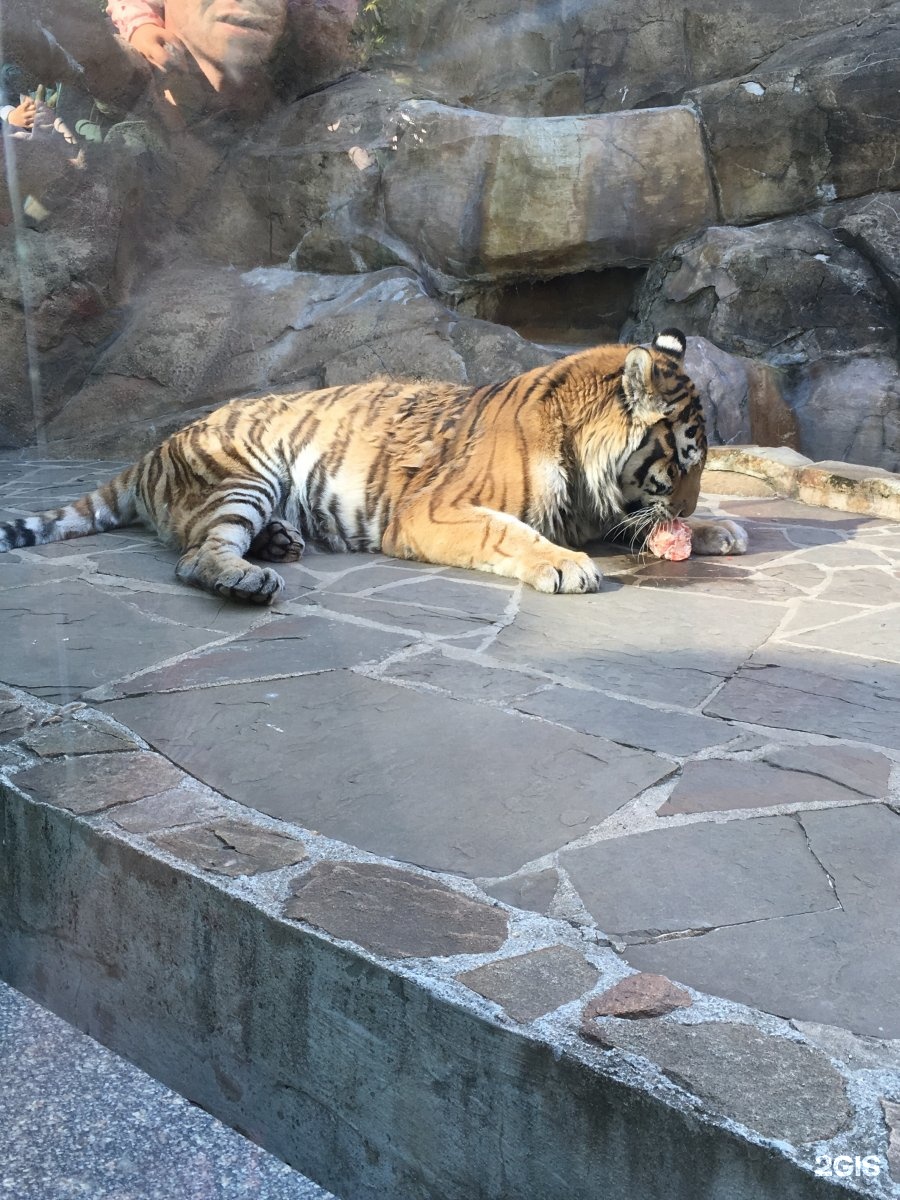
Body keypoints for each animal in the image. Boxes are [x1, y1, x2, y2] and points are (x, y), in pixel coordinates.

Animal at [0, 326, 748, 600]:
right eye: (682, 461)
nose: (688, 504)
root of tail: (153, 449)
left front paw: (718, 528)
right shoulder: (433, 510)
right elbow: (509, 534)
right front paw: (566, 565)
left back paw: (279, 542)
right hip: (243, 473)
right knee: (193, 556)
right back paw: (248, 579)